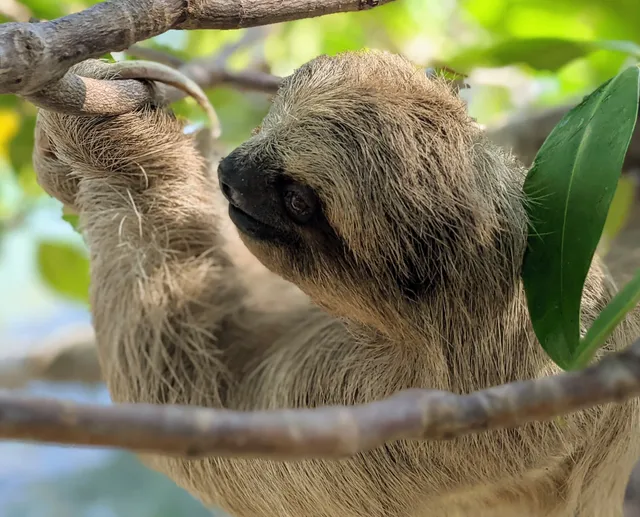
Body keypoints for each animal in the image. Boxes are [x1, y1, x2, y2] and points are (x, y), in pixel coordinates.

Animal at [32, 50, 640, 517]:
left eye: (298, 200)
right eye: (266, 127)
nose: (230, 172)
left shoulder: (371, 401)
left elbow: (183, 394)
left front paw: (113, 140)